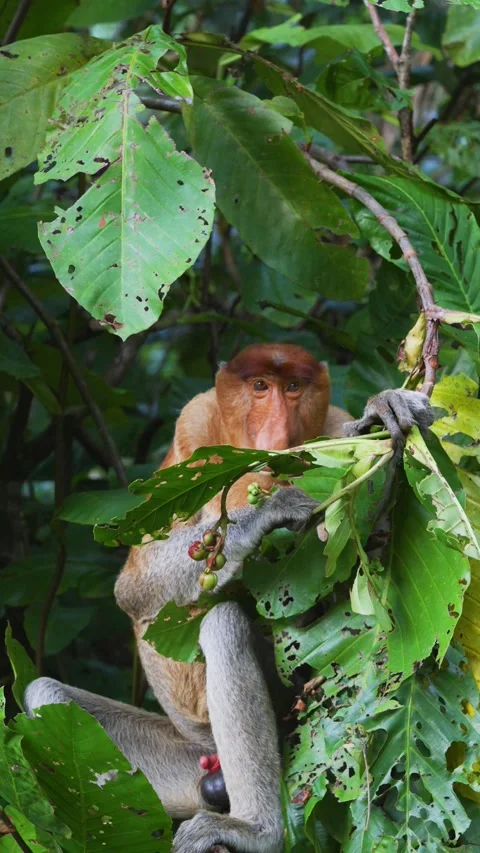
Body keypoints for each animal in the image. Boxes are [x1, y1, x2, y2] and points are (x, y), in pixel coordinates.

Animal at [24, 343, 434, 853]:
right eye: (259, 386)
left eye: (293, 387)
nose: (276, 432)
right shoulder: (193, 423)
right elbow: (135, 588)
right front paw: (267, 510)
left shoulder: (333, 421)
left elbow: (354, 560)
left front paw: (385, 415)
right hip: (175, 765)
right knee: (48, 695)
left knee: (223, 625)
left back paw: (254, 828)